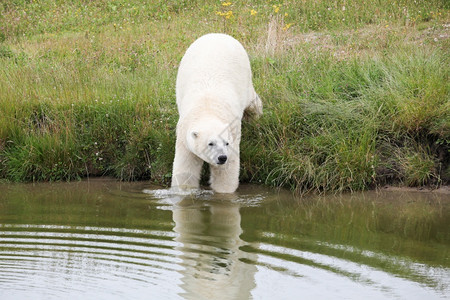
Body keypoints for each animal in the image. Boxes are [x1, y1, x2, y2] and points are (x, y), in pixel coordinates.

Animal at [172, 34, 264, 193]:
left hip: (244, 75)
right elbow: (186, 168)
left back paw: (255, 116)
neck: (207, 108)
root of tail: (219, 34)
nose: (222, 157)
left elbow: (226, 171)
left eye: (226, 142)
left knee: (252, 101)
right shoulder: (184, 136)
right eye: (211, 143)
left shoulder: (233, 133)